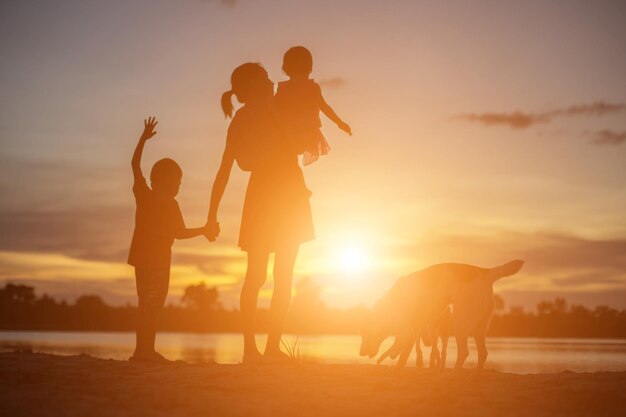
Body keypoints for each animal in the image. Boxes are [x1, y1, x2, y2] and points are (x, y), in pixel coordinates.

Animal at [358, 260, 524, 370]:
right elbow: (404, 353)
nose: (360, 353)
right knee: (482, 353)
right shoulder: (413, 332)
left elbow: (396, 350)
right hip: (479, 328)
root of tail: (486, 272)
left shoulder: (407, 331)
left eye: (365, 333)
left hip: (460, 323)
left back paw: (455, 372)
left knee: (464, 352)